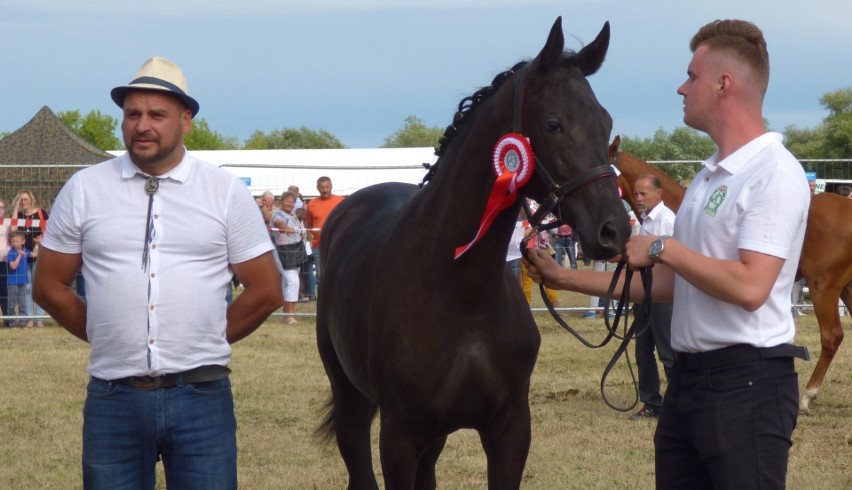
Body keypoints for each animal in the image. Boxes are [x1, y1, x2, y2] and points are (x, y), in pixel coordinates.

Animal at [316, 17, 628, 488]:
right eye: (553, 124)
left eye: (605, 122)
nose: (615, 230)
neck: (461, 297)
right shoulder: (399, 435)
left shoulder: (510, 429)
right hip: (351, 398)